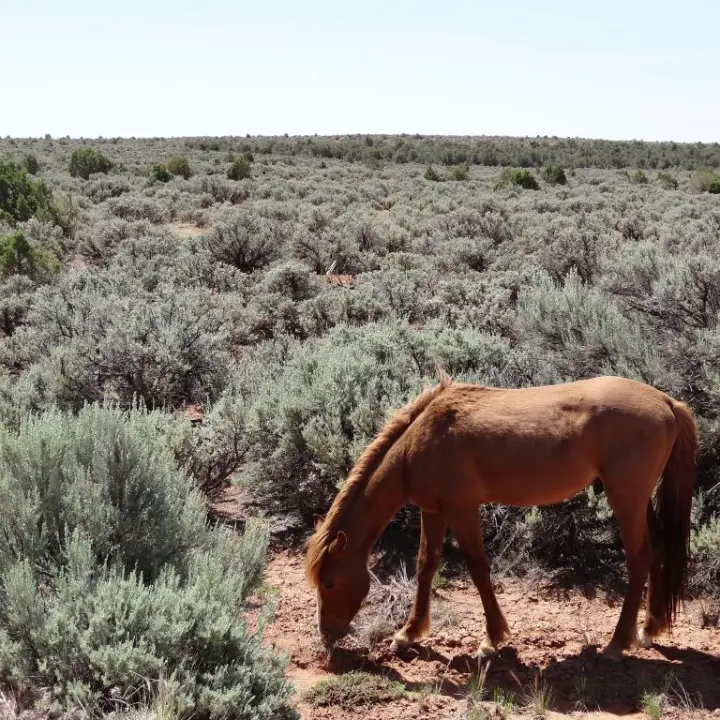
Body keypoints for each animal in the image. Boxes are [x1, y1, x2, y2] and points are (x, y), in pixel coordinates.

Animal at [305, 374, 698, 661]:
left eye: (330, 583)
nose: (327, 635)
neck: (419, 442)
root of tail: (667, 402)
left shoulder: (461, 509)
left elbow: (478, 568)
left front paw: (492, 639)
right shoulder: (433, 510)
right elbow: (425, 566)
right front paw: (409, 633)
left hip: (625, 498)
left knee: (640, 558)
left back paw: (617, 643)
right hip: (639, 500)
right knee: (658, 552)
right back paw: (650, 629)